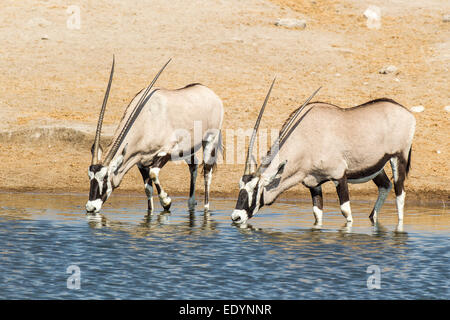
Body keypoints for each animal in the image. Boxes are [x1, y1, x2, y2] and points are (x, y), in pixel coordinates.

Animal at [85, 58, 223, 214]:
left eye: (105, 178)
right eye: (90, 177)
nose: (91, 207)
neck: (147, 118)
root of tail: (210, 93)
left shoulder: (166, 151)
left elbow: (154, 173)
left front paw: (166, 201)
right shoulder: (141, 161)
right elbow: (148, 190)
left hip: (210, 140)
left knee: (207, 171)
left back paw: (206, 208)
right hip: (188, 148)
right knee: (193, 166)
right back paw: (191, 202)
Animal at [234, 79, 416, 225]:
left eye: (256, 188)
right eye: (240, 186)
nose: (236, 217)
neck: (306, 138)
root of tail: (407, 113)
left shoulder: (339, 175)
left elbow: (346, 211)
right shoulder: (313, 183)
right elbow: (317, 214)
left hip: (398, 158)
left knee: (400, 194)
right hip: (376, 166)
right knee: (385, 186)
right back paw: (373, 218)